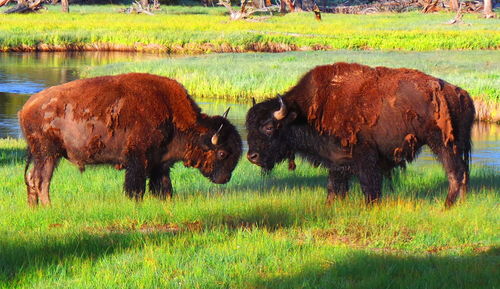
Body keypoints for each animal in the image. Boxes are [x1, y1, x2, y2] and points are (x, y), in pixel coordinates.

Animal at [20, 73, 243, 206]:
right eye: (222, 153)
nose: (225, 179)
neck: (172, 116)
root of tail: (26, 107)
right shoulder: (138, 159)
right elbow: (136, 186)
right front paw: (135, 202)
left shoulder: (160, 163)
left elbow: (163, 185)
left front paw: (165, 200)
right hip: (48, 154)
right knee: (41, 180)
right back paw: (49, 207)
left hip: (43, 156)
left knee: (31, 177)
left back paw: (34, 207)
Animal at [248, 62, 474, 207]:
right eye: (249, 126)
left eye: (269, 127)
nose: (252, 156)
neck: (302, 112)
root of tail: (462, 94)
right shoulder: (337, 161)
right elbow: (334, 188)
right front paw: (330, 206)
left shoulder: (365, 159)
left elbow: (369, 187)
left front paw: (369, 207)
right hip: (455, 146)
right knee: (463, 172)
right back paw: (462, 203)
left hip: (443, 144)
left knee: (455, 172)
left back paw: (446, 205)